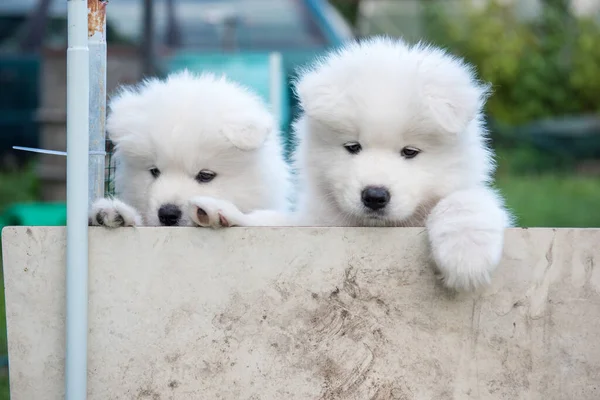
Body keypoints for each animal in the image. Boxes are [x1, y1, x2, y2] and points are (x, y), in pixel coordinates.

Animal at [188, 37, 510, 290]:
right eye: (353, 147)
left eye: (410, 152)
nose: (375, 196)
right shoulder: (314, 223)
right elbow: (273, 220)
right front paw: (220, 212)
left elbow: (466, 201)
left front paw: (466, 255)